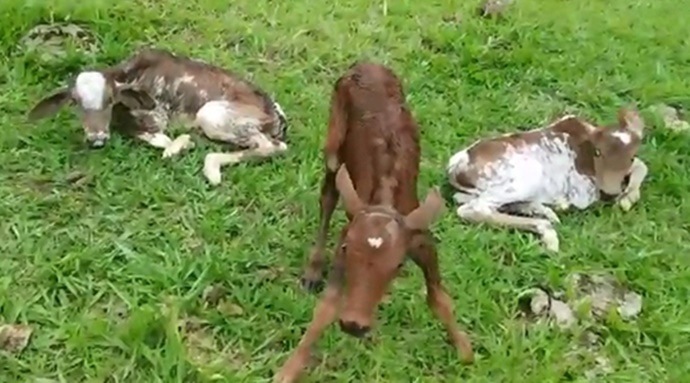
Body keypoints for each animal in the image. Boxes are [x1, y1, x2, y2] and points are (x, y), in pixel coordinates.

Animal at [26, 48, 284, 186]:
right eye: (76, 103)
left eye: (110, 100)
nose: (96, 139)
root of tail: (277, 116)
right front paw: (184, 143)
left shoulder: (157, 115)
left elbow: (159, 139)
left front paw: (177, 146)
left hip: (214, 114)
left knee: (272, 147)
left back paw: (211, 169)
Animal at [444, 108, 648, 252]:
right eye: (598, 152)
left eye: (630, 156)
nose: (610, 192)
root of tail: (456, 165)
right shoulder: (582, 192)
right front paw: (625, 200)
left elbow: (641, 164)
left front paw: (628, 197)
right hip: (526, 177)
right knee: (475, 209)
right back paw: (549, 230)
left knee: (462, 199)